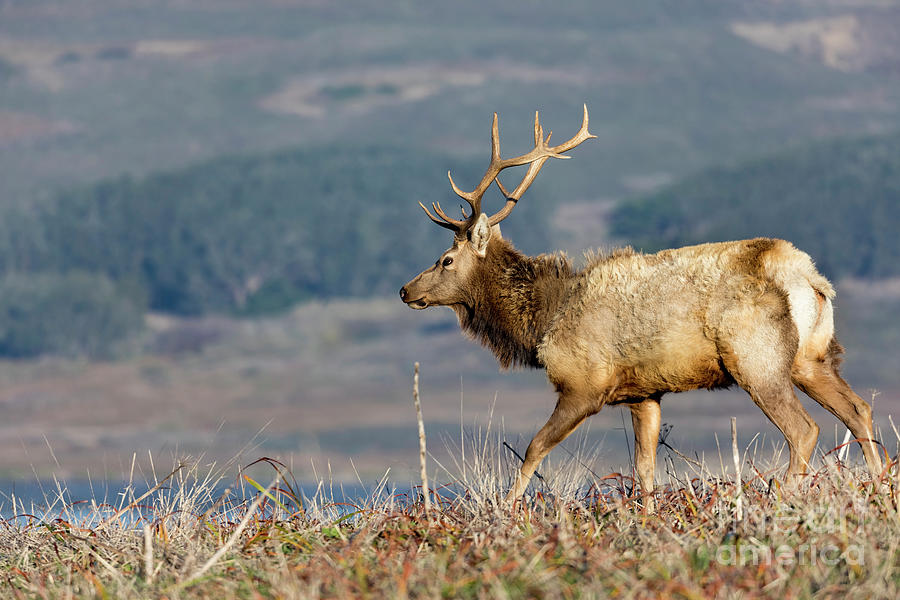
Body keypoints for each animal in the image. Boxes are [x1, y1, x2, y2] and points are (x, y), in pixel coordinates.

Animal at [398, 106, 884, 502]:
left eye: (445, 260)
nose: (405, 290)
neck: (542, 320)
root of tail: (808, 277)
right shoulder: (644, 392)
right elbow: (644, 472)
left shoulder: (584, 384)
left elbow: (533, 447)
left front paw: (510, 510)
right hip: (811, 358)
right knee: (859, 410)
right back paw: (879, 488)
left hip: (756, 358)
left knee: (804, 430)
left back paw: (783, 499)